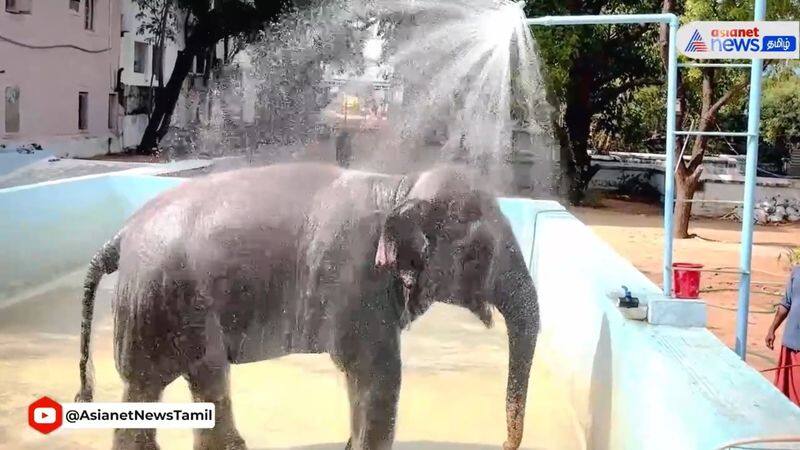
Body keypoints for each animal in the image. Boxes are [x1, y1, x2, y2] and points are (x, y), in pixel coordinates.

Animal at [75, 162, 540, 450]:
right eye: (478, 255)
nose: (504, 444)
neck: (400, 187)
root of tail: (119, 237)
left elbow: (363, 380)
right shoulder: (358, 283)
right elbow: (380, 374)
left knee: (163, 386)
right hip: (162, 302)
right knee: (195, 378)